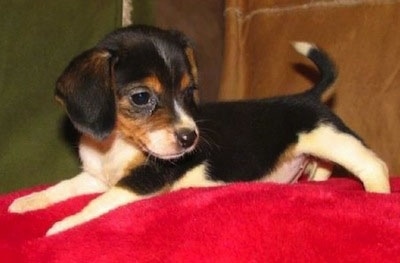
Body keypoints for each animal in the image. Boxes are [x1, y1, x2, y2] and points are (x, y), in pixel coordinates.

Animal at [8, 24, 390, 236]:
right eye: (142, 97)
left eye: (189, 91)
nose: (190, 138)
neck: (119, 145)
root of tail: (308, 94)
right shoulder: (96, 176)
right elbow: (62, 187)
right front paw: (27, 202)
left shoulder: (142, 181)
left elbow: (95, 205)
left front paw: (63, 225)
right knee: (323, 167)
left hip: (330, 137)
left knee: (373, 164)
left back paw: (377, 197)